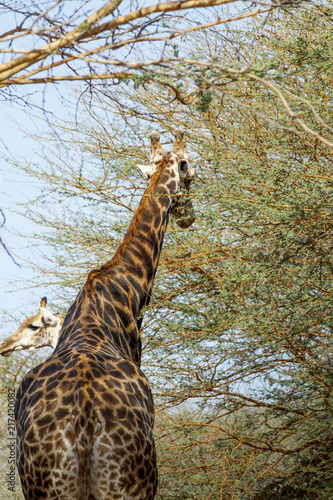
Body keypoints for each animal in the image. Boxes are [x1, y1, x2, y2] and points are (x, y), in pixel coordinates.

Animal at [13, 129, 195, 500]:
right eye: (192, 172)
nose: (189, 216)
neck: (126, 288)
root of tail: (83, 422)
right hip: (131, 484)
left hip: (49, 488)